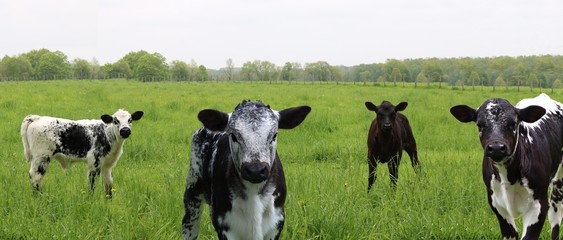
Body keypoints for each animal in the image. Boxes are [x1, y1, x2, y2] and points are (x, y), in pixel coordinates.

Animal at [182, 100, 310, 239]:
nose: (255, 171)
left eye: (274, 135)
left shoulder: (277, 222)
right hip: (192, 193)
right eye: (233, 136)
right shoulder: (223, 222)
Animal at [452, 94, 563, 240]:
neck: (509, 177)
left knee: (555, 217)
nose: (496, 148)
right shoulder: (496, 202)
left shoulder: (539, 204)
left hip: (559, 182)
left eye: (513, 123)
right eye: (479, 125)